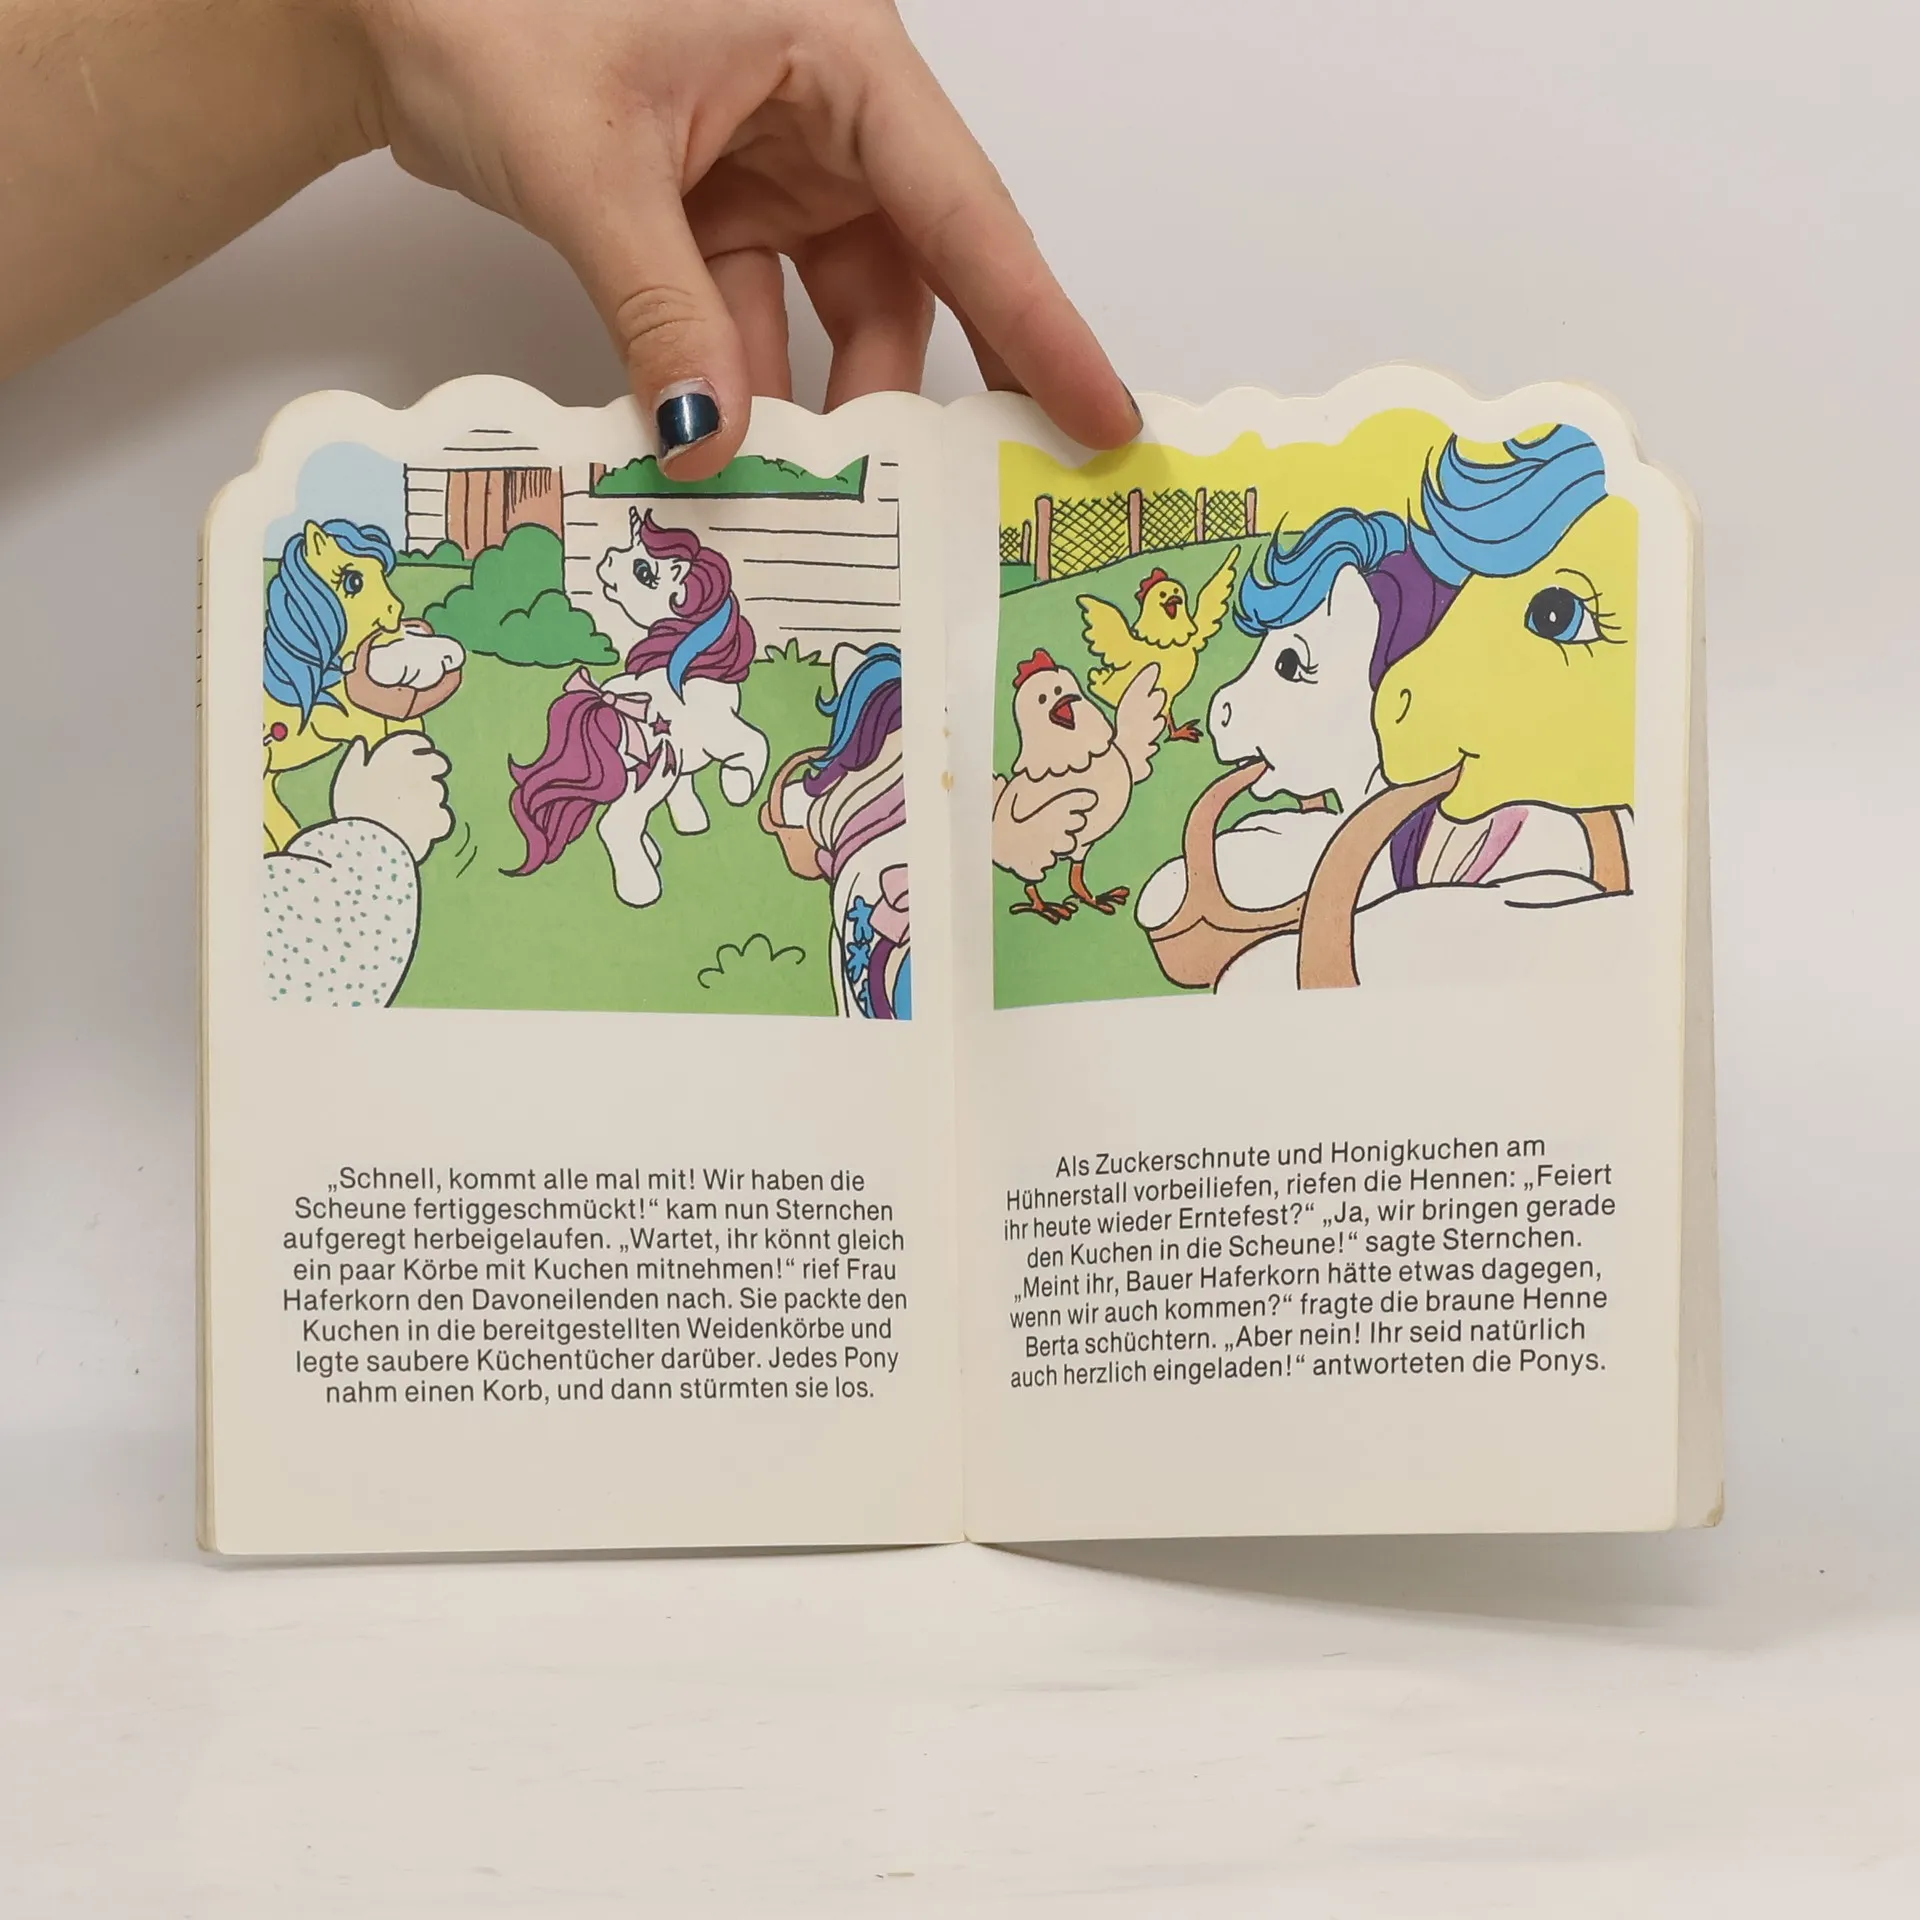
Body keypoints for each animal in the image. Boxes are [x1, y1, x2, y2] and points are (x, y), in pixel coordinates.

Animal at [506, 507, 769, 908]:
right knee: (616, 826)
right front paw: (737, 786)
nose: (608, 556)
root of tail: (605, 706)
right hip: (646, 779)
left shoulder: (683, 763)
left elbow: (685, 792)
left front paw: (693, 824)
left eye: (644, 571)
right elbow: (755, 744)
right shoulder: (718, 734)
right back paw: (641, 890)